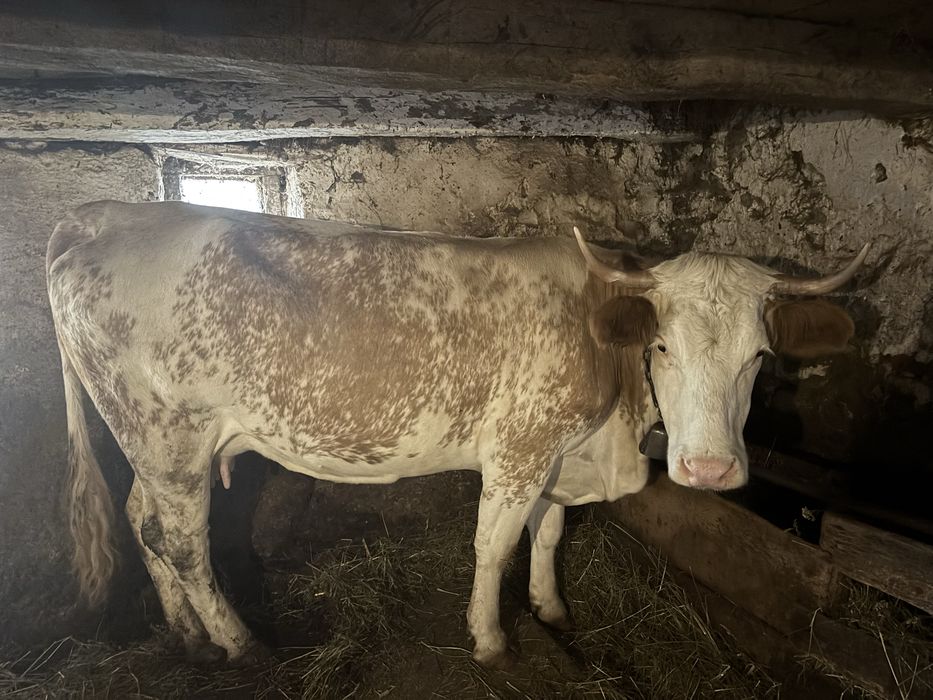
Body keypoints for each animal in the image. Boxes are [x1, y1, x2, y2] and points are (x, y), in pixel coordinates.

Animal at [47, 201, 866, 668]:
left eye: (758, 356)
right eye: (662, 345)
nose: (708, 472)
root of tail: (107, 214)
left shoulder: (558, 455)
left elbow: (547, 534)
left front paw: (550, 609)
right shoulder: (521, 446)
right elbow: (493, 546)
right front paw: (491, 641)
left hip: (151, 445)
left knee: (143, 525)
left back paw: (187, 635)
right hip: (170, 436)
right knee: (183, 542)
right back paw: (240, 644)